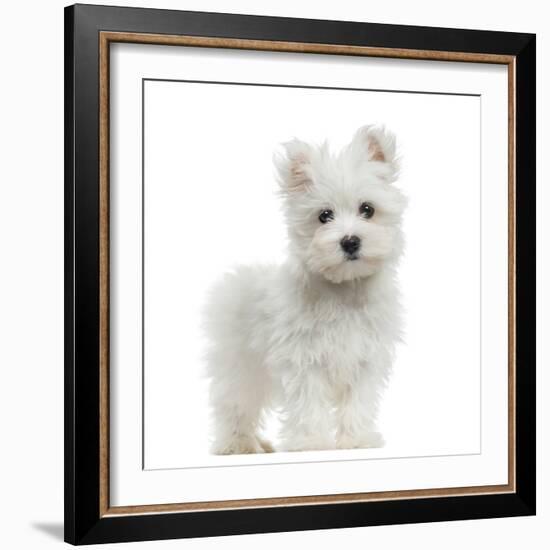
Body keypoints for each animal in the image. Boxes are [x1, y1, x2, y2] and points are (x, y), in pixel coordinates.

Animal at [203, 126, 406, 458]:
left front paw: (357, 440)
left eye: (368, 209)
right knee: (235, 405)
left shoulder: (364, 358)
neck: (343, 290)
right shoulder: (304, 359)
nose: (350, 241)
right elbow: (308, 402)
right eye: (324, 216)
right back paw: (238, 444)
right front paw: (311, 443)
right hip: (241, 366)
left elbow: (357, 402)